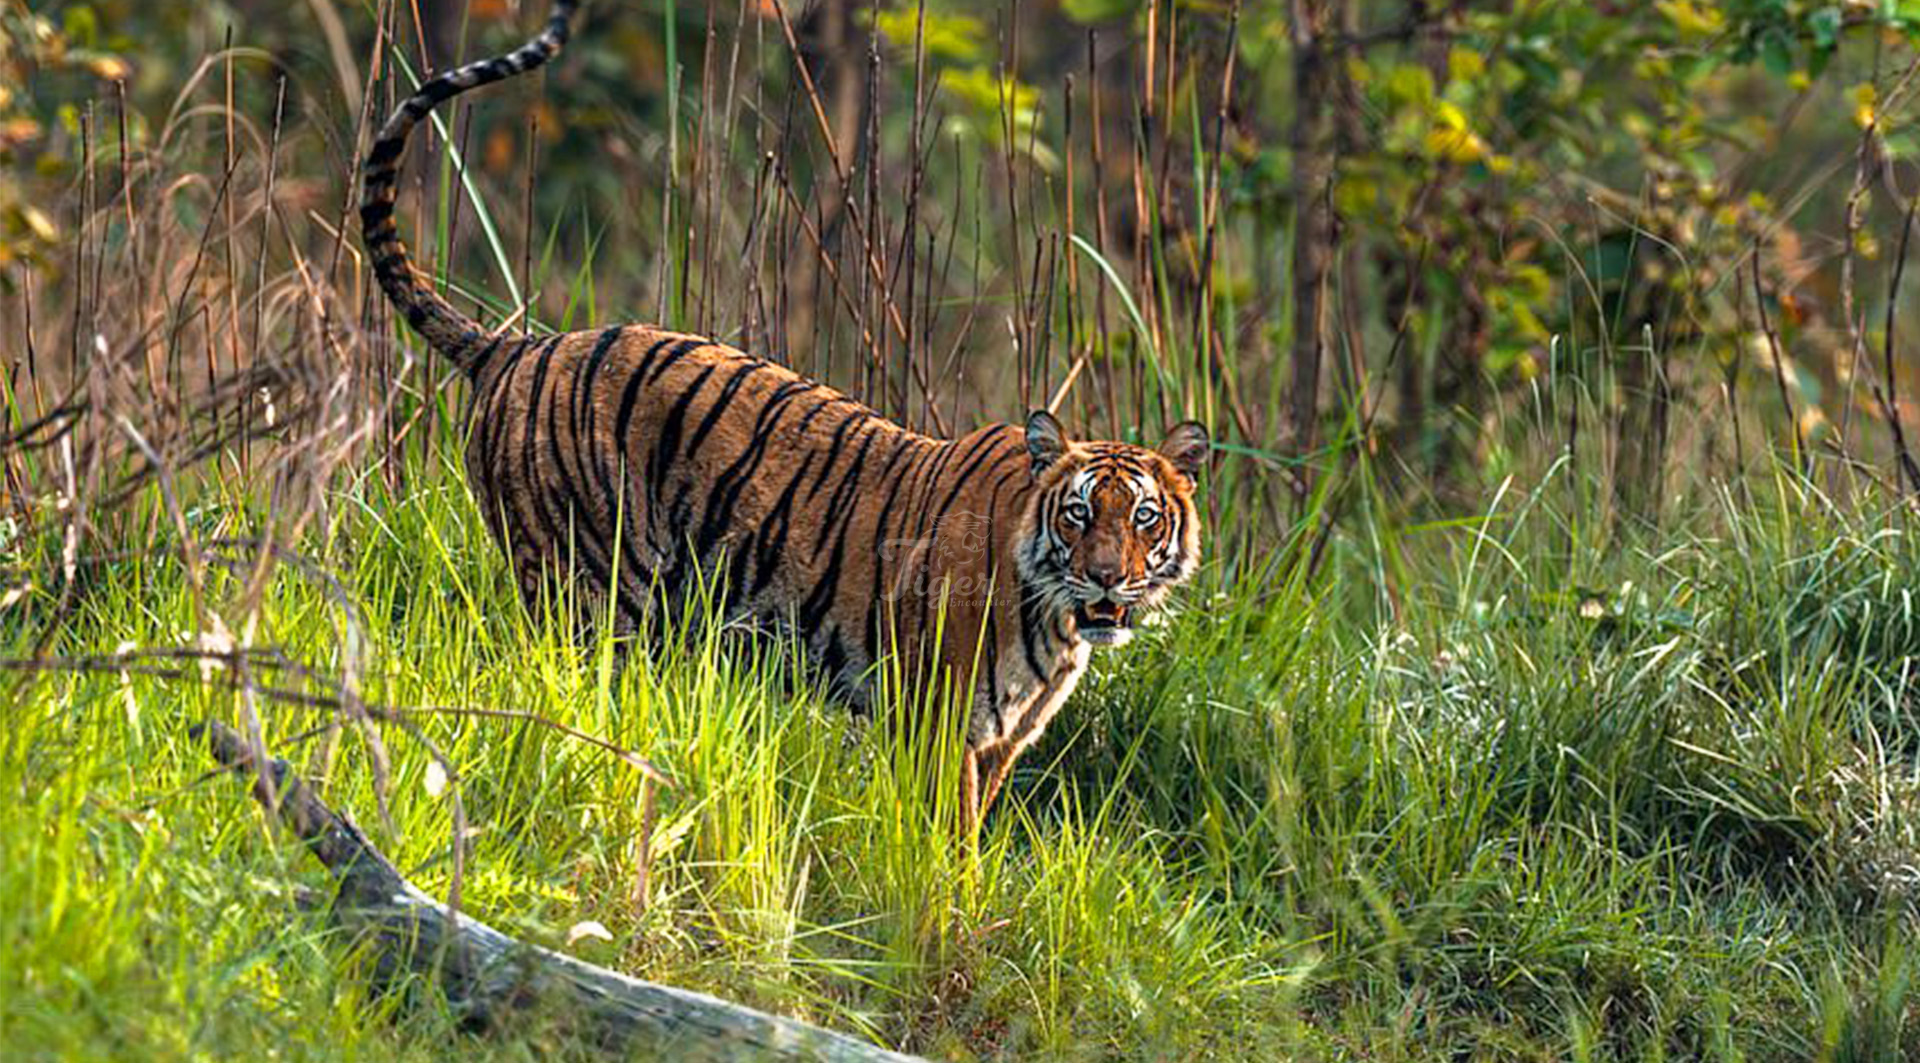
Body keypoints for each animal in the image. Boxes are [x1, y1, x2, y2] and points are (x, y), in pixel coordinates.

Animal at [358, 0, 1209, 828]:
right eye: (1076, 514)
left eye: (1143, 518)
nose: (1107, 576)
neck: (1057, 616)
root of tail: (515, 346)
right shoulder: (940, 723)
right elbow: (947, 844)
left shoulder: (1004, 737)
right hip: (588, 591)